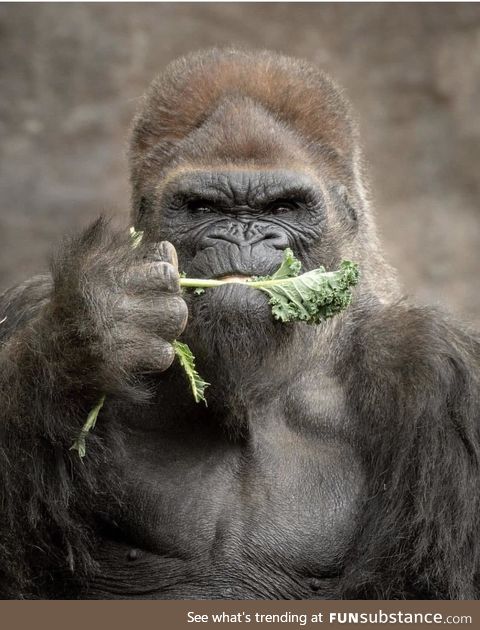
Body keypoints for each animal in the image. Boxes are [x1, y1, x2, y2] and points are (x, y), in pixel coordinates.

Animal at [0, 49, 480, 604]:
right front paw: (90, 333)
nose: (242, 234)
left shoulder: (436, 370)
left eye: (283, 207)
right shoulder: (25, 308)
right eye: (204, 207)